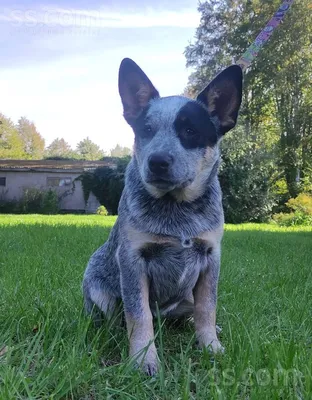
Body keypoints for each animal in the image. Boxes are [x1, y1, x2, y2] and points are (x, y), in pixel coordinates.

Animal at [83, 57, 244, 376]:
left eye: (190, 131)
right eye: (146, 129)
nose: (157, 161)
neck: (177, 210)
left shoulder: (211, 257)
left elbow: (208, 307)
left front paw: (211, 347)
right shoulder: (133, 259)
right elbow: (138, 314)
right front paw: (144, 359)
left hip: (186, 297)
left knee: (191, 312)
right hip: (98, 288)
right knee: (114, 317)